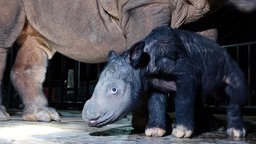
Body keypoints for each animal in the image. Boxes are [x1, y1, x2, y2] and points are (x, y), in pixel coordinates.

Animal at [83, 25, 249, 138]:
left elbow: (183, 98)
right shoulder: (153, 83)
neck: (144, 63)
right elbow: (155, 103)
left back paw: (235, 132)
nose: (87, 116)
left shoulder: (185, 72)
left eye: (114, 90)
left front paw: (181, 132)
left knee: (236, 88)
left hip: (230, 63)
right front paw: (154, 131)